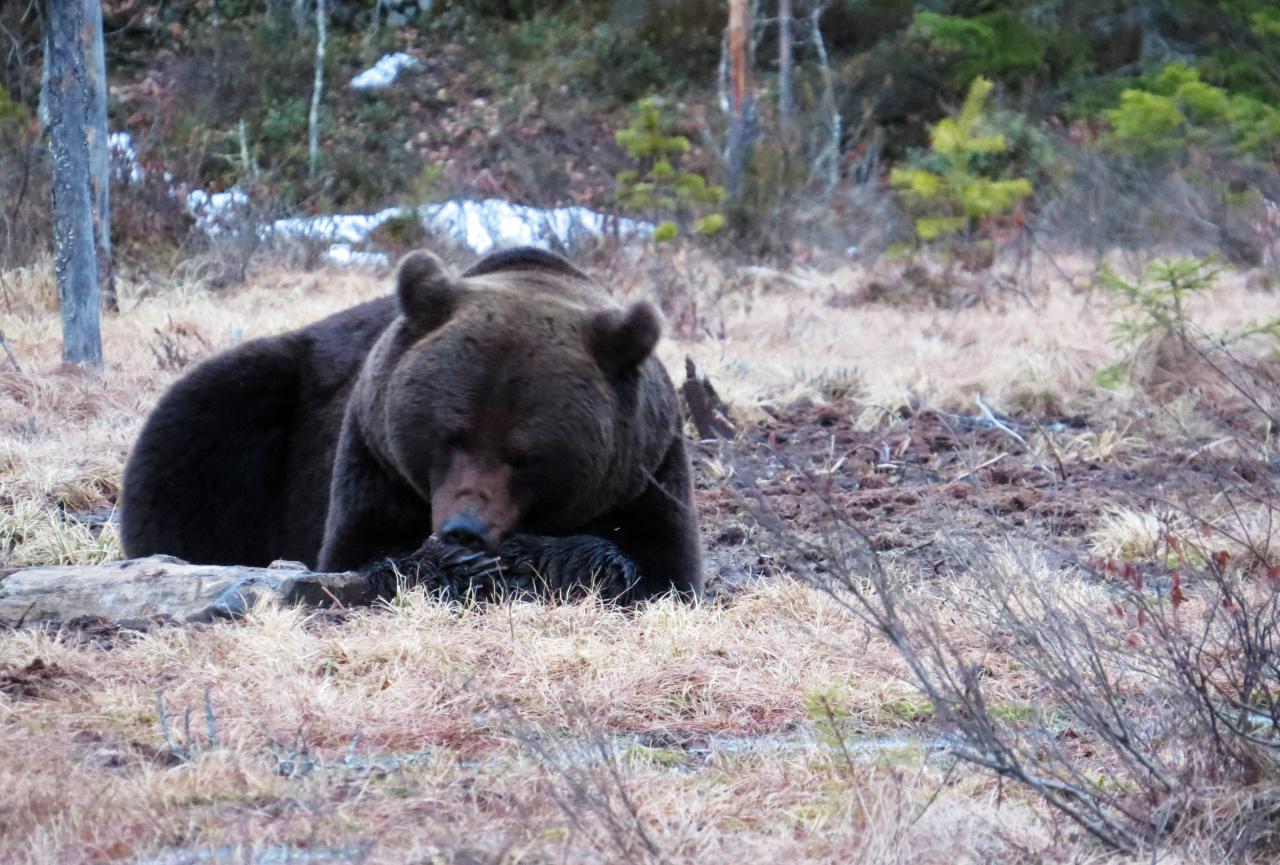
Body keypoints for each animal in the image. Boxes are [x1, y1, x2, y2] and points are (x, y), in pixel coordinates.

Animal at [120, 244, 701, 601]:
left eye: (524, 456)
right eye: (449, 435)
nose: (465, 529)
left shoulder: (647, 468)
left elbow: (662, 570)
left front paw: (525, 557)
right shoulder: (372, 455)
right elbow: (358, 556)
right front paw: (455, 563)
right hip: (262, 406)